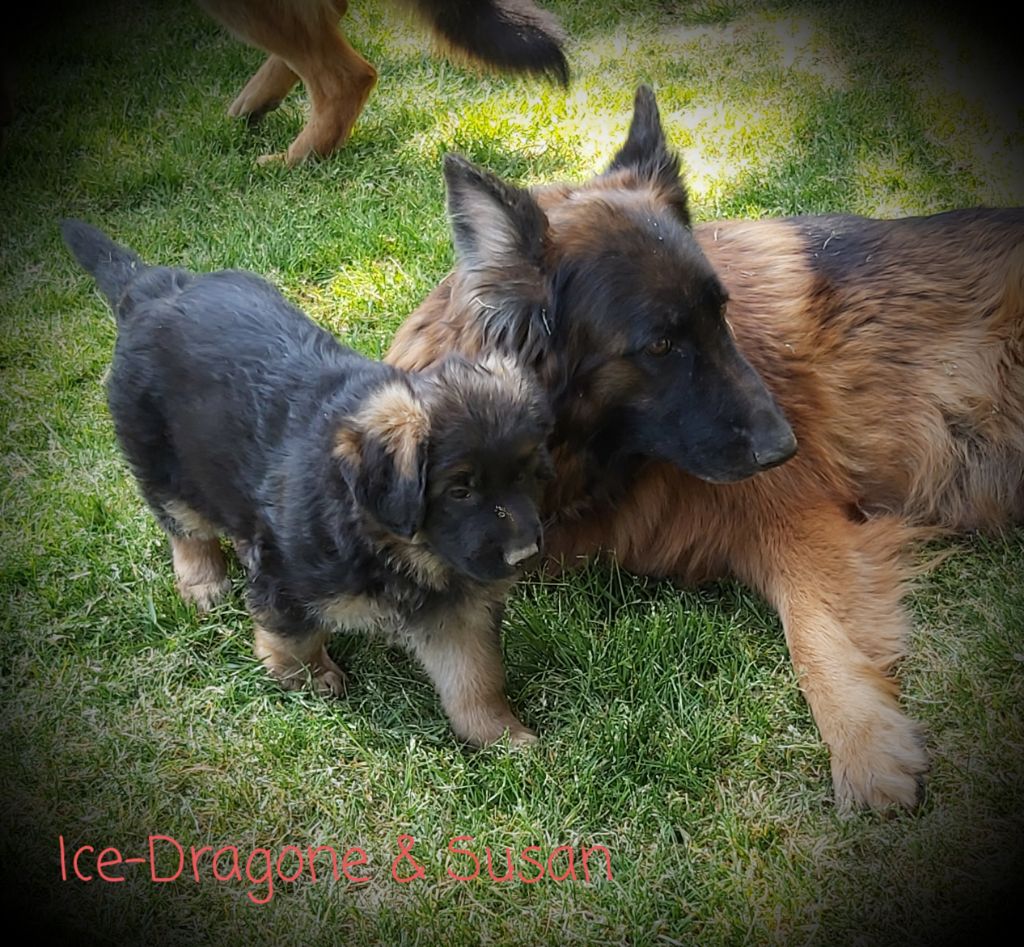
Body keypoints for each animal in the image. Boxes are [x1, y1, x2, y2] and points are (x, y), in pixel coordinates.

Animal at [59, 218, 557, 741]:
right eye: (460, 491)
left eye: (528, 476)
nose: (525, 555)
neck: (388, 542)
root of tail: (154, 288)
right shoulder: (287, 579)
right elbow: (293, 633)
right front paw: (307, 676)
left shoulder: (458, 606)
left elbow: (474, 675)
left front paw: (502, 735)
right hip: (161, 459)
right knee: (184, 525)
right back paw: (203, 582)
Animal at [387, 87, 1024, 806]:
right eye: (661, 344)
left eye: (721, 315)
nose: (785, 448)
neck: (599, 462)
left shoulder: (797, 522)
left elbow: (813, 635)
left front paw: (863, 745)